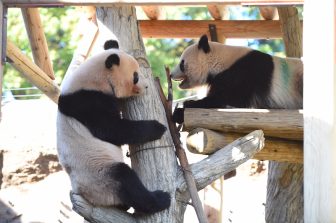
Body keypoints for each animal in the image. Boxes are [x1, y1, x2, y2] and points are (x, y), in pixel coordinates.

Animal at [56, 39, 171, 213]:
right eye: (135, 76)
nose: (146, 87)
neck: (95, 78)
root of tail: (85, 195)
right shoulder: (87, 102)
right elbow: (113, 129)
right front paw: (158, 128)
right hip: (99, 176)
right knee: (125, 179)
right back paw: (160, 199)